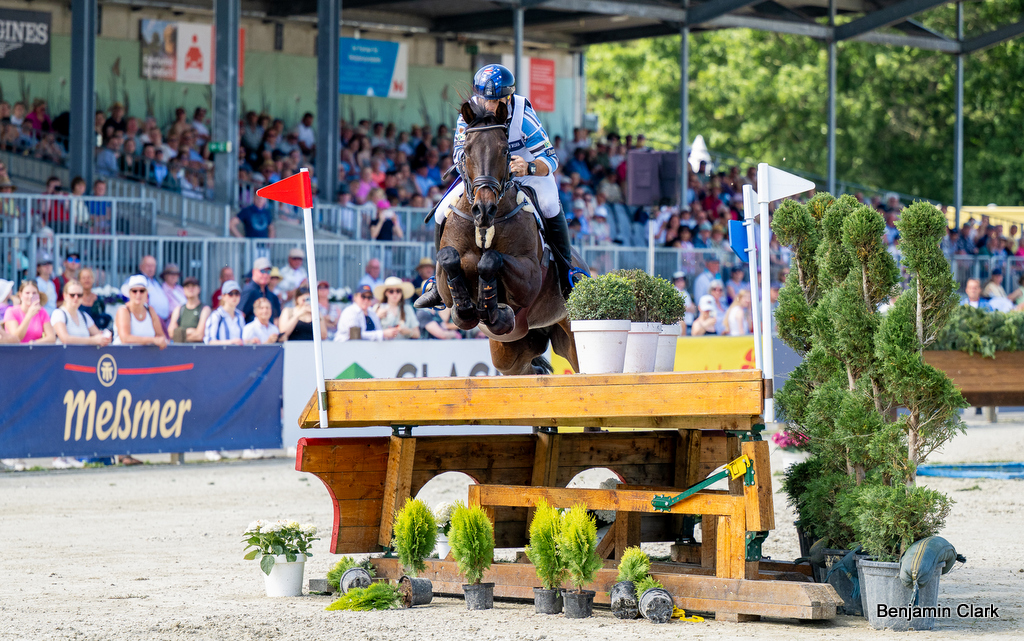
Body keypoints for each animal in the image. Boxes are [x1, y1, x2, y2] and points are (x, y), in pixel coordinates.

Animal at [433, 99, 586, 376]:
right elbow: (450, 258)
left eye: (505, 151)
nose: (484, 209)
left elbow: (491, 259)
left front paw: (489, 303)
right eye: (467, 151)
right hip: (511, 352)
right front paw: (470, 307)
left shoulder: (530, 277)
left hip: (572, 335)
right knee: (524, 367)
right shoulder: (444, 281)